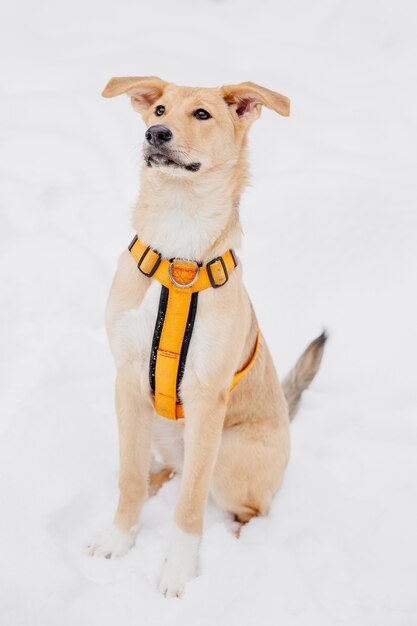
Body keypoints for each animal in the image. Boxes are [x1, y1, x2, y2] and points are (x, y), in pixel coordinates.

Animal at [88, 77, 324, 596]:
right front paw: (119, 538)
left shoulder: (206, 398)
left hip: (231, 451)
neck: (179, 242)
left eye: (201, 114)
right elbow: (129, 476)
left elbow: (192, 504)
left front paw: (178, 571)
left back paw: (240, 541)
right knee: (164, 469)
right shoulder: (127, 384)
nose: (155, 134)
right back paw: (157, 482)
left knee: (252, 510)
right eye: (158, 109)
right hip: (157, 424)